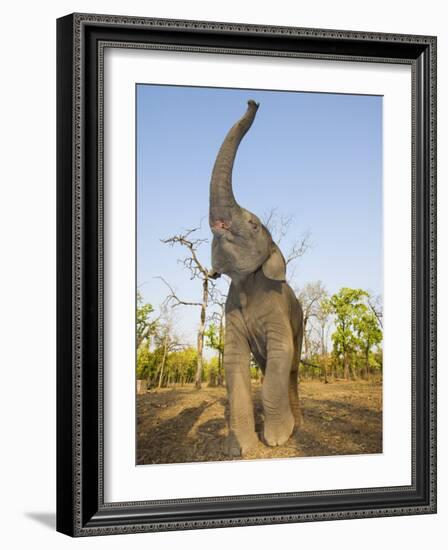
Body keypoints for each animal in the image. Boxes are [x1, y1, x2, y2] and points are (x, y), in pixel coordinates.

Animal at [208, 99, 302, 458]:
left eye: (252, 224)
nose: (253, 102)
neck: (247, 283)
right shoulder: (231, 311)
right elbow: (234, 360)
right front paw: (239, 449)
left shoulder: (277, 309)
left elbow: (281, 352)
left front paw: (276, 439)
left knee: (291, 367)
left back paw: (298, 423)